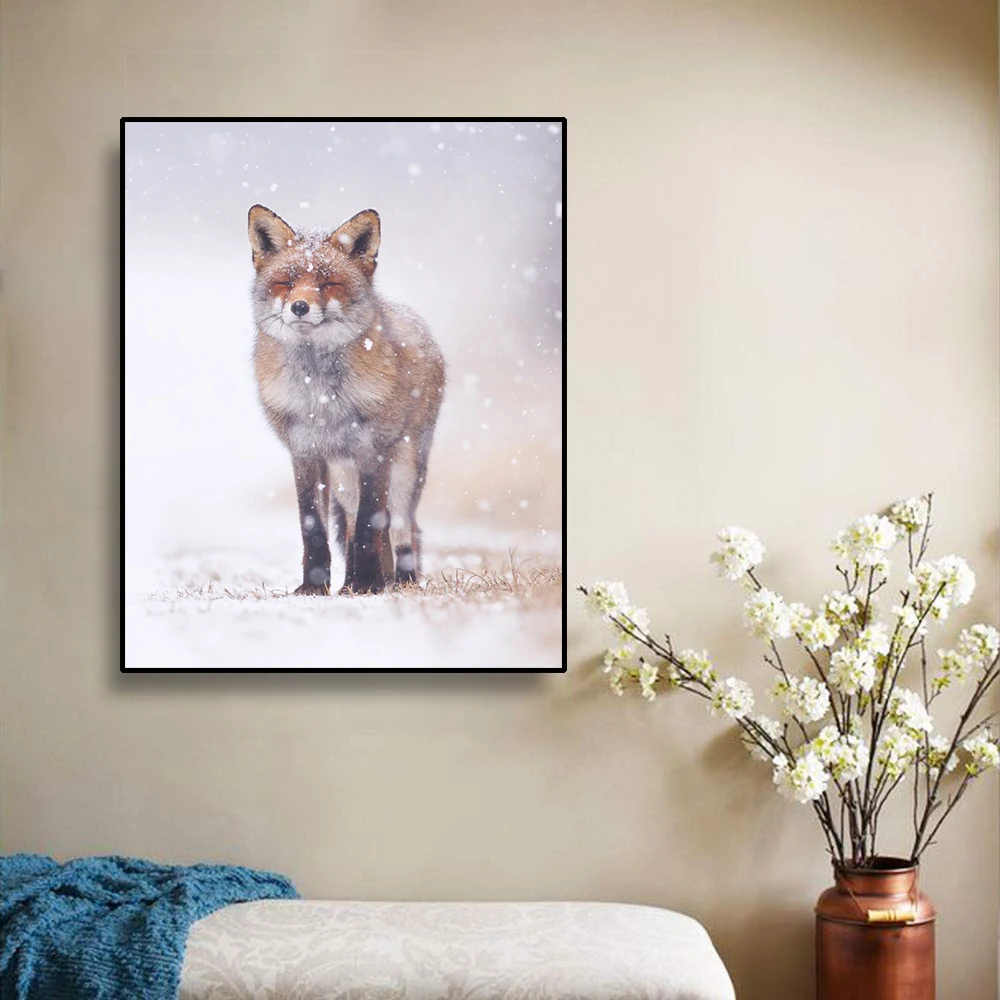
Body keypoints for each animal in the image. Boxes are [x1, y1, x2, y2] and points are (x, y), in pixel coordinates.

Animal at [247, 204, 445, 595]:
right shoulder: (305, 453)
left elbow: (372, 523)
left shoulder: (374, 450)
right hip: (342, 476)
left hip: (405, 467)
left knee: (403, 528)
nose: (299, 306)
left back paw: (398, 581)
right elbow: (314, 526)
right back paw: (350, 582)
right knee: (352, 523)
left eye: (328, 284)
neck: (321, 397)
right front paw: (314, 587)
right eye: (286, 283)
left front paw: (370, 584)